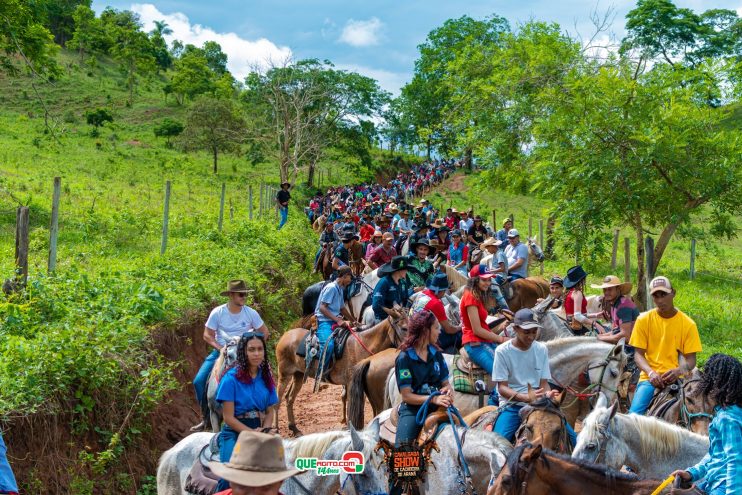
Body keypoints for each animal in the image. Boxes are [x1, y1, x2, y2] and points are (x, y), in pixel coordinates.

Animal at [278, 316, 406, 436]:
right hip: (284, 375)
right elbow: (351, 404)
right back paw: (276, 429)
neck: (361, 345)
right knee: (278, 399)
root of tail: (284, 336)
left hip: (298, 375)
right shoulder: (351, 382)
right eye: (404, 328)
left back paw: (294, 429)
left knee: (289, 398)